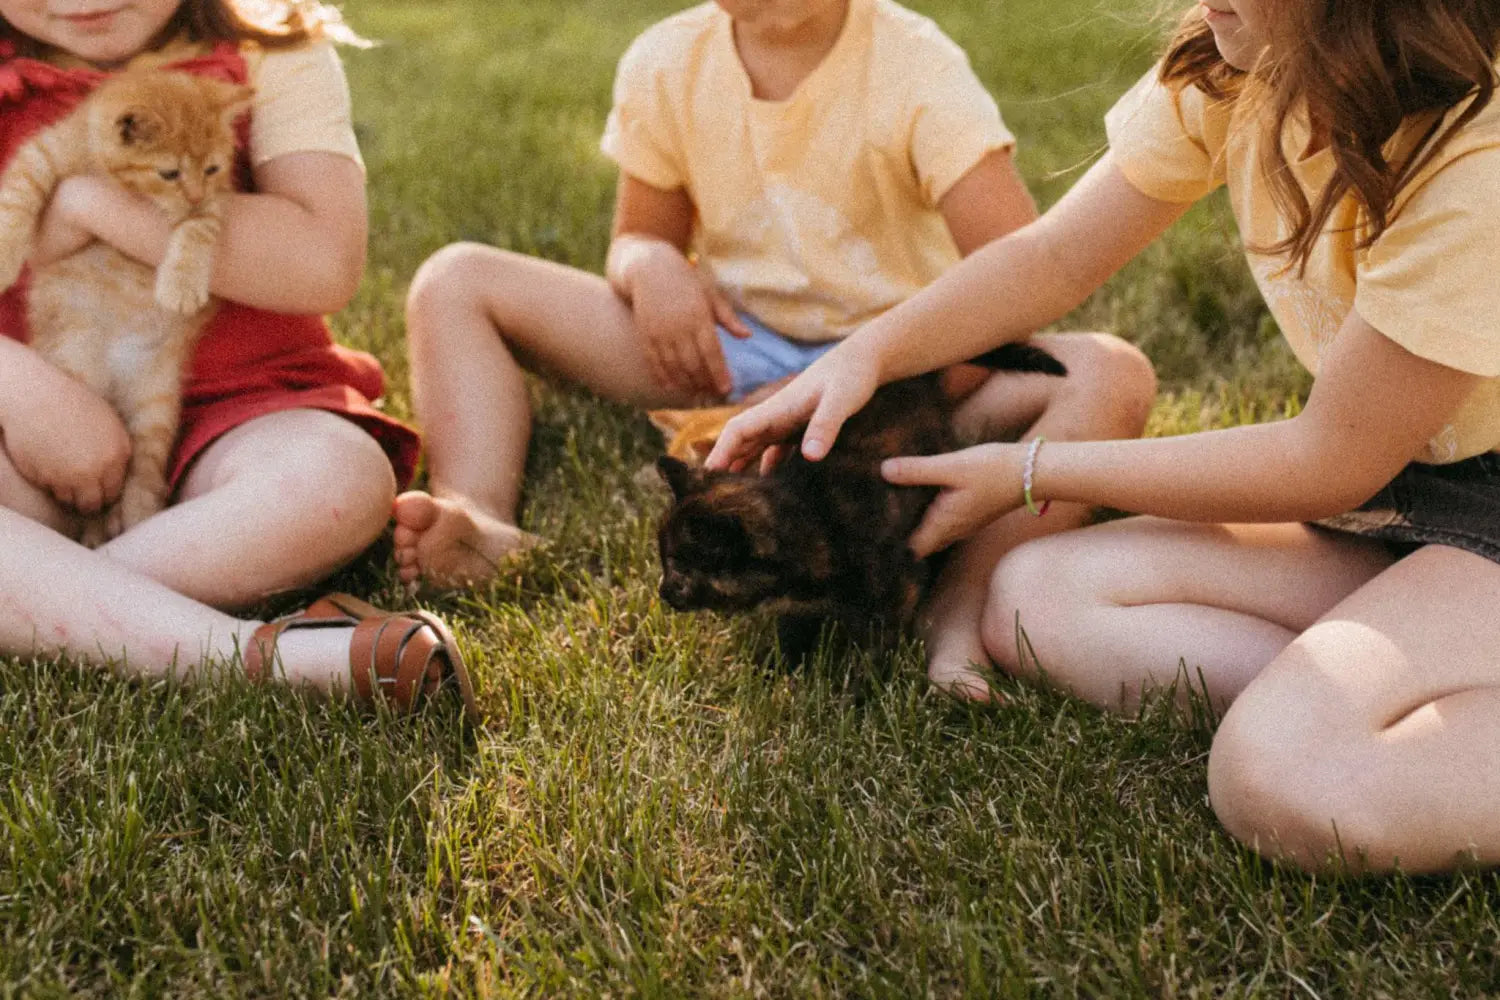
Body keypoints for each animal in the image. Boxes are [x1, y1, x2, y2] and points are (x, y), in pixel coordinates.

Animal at [0, 68, 252, 548]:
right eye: (169, 172)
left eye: (212, 168)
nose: (193, 193)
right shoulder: (43, 153)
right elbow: (17, 196)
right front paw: (4, 254)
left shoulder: (217, 201)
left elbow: (199, 228)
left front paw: (182, 282)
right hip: (79, 384)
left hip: (156, 406)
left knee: (143, 476)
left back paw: (135, 524)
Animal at [657, 344, 1068, 665]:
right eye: (665, 563)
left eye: (679, 569)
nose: (662, 594)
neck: (812, 515)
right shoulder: (797, 605)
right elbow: (792, 633)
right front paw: (784, 672)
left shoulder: (897, 588)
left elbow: (874, 651)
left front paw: (858, 695)